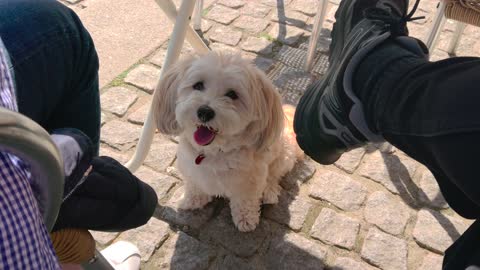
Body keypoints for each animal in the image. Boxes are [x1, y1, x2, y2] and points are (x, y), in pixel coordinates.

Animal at [153, 52, 300, 232]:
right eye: (198, 85)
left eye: (232, 94)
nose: (205, 111)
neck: (215, 152)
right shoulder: (192, 171)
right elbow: (195, 187)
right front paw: (192, 201)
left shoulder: (249, 181)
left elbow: (244, 200)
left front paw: (246, 219)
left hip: (283, 156)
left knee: (274, 175)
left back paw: (269, 191)